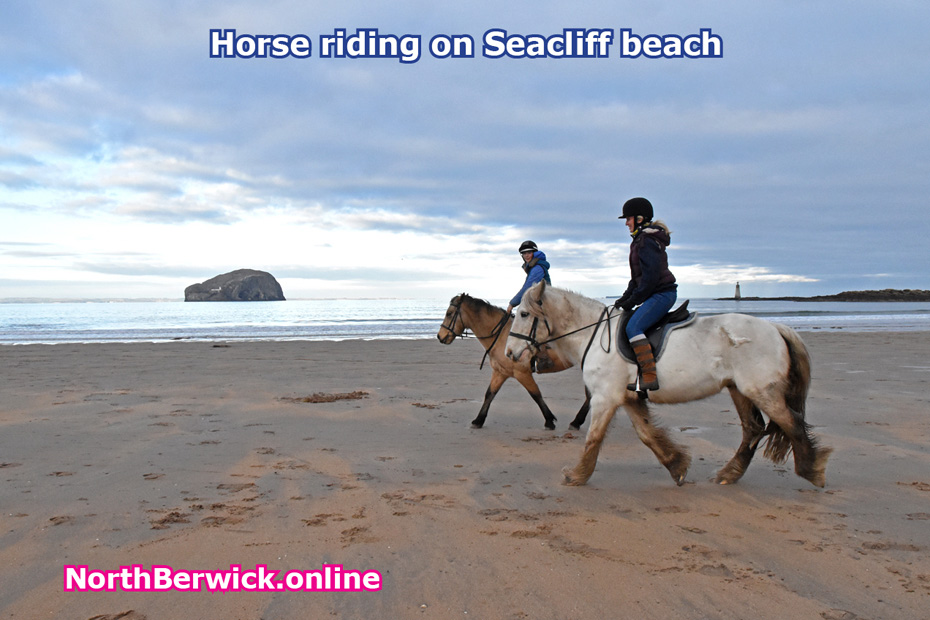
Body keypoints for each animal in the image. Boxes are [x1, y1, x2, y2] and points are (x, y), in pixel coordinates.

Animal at [436, 294, 588, 432]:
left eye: (449, 313)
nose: (439, 336)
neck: (502, 336)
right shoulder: (500, 372)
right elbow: (489, 394)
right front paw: (478, 420)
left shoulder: (522, 373)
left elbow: (536, 394)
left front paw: (549, 420)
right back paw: (577, 422)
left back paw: (576, 422)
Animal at [504, 280, 832, 490]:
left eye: (524, 314)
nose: (509, 353)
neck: (593, 335)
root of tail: (776, 327)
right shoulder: (628, 398)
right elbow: (648, 434)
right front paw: (677, 466)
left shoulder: (604, 397)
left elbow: (594, 438)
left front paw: (576, 475)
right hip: (739, 389)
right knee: (753, 429)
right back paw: (730, 473)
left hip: (761, 391)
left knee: (791, 423)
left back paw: (812, 470)